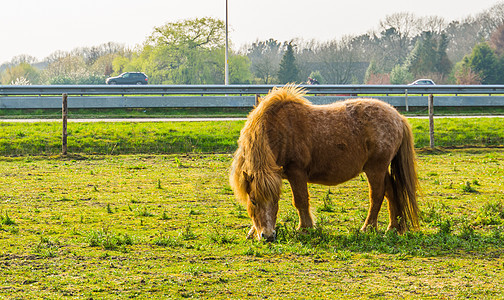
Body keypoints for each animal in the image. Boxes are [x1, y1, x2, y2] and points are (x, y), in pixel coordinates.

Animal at [230, 84, 420, 241]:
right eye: (253, 201)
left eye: (276, 200)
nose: (268, 236)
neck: (281, 129)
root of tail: (399, 117)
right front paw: (252, 232)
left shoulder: (296, 172)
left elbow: (300, 200)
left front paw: (305, 229)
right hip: (380, 169)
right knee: (391, 191)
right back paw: (393, 228)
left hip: (376, 169)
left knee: (377, 195)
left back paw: (368, 228)